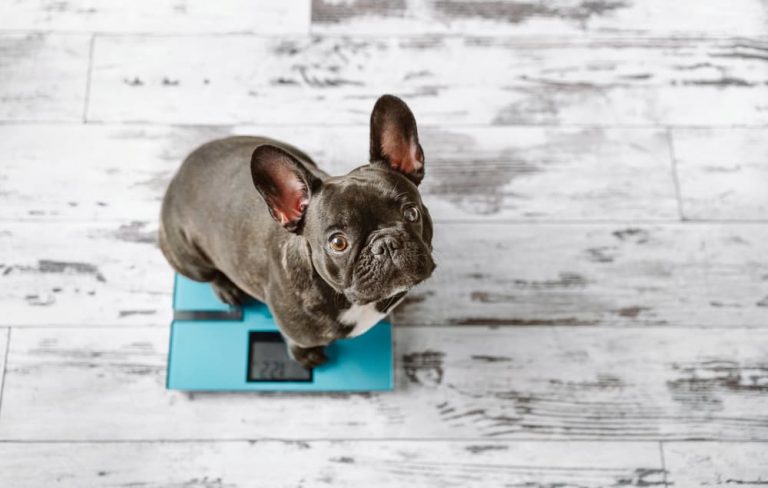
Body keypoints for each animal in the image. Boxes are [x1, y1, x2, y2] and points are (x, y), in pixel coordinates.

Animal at [159, 94, 436, 370]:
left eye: (411, 213)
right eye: (338, 243)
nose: (386, 244)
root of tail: (180, 173)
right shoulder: (298, 332)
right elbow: (297, 343)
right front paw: (307, 357)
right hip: (189, 260)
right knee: (210, 275)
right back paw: (227, 289)